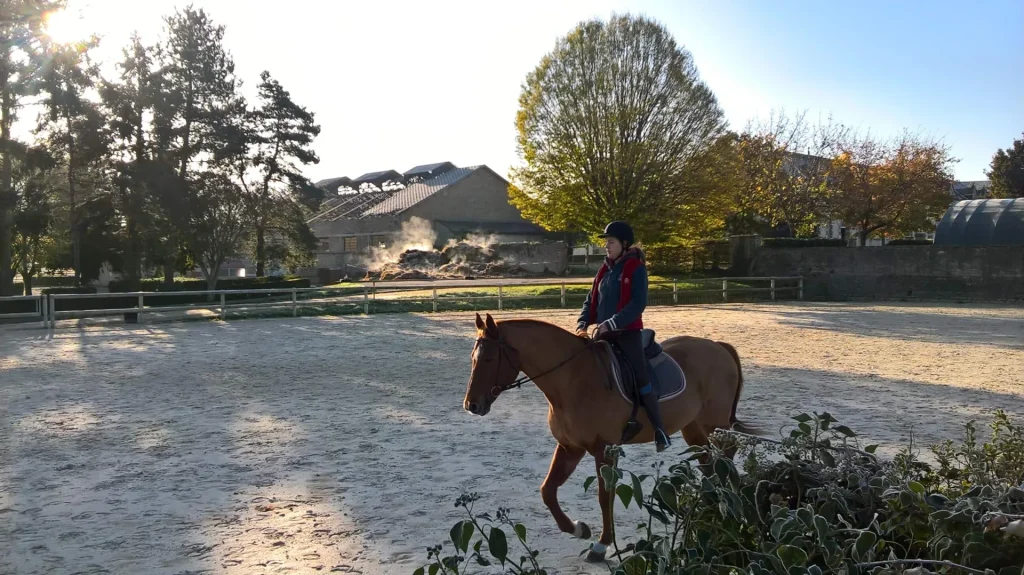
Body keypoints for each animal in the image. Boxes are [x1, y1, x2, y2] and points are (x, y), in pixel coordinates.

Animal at [464, 313, 761, 560]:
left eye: (488, 359)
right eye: (472, 358)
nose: (471, 405)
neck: (572, 380)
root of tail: (718, 346)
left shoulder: (603, 449)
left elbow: (604, 496)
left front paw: (601, 545)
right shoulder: (570, 447)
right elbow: (547, 491)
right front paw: (578, 528)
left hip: (714, 425)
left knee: (725, 458)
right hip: (693, 428)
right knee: (709, 463)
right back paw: (710, 510)